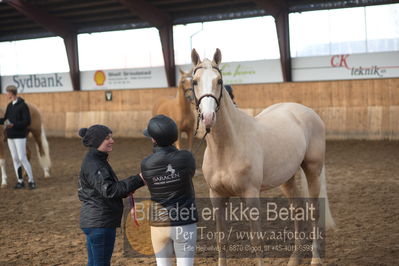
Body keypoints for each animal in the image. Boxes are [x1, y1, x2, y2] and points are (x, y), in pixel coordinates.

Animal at [192, 48, 336, 264]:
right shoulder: (216, 197)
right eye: (194, 81)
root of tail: (307, 111)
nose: (208, 118)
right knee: (297, 209)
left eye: (219, 81)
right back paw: (294, 258)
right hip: (287, 178)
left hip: (313, 170)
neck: (227, 147)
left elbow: (256, 241)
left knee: (313, 210)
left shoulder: (251, 195)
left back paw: (315, 259)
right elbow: (221, 240)